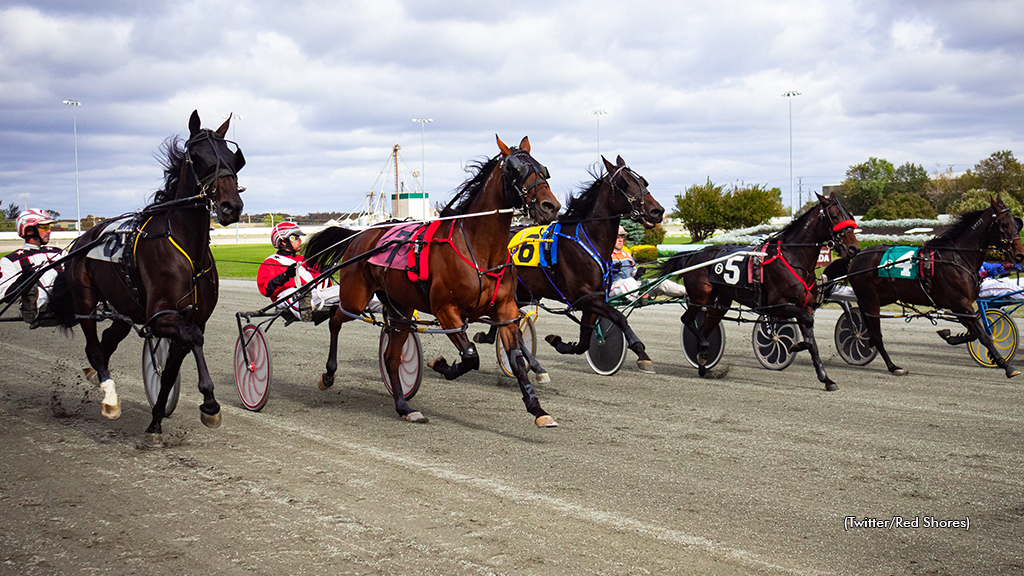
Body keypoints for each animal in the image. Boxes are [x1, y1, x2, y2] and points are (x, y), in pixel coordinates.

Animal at [54, 111, 247, 444]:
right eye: (198, 157)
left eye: (233, 158)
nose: (230, 207)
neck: (188, 248)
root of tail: (81, 239)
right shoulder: (160, 317)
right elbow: (192, 339)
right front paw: (210, 404)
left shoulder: (194, 317)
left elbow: (169, 372)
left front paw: (156, 420)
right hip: (86, 302)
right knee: (94, 346)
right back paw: (110, 398)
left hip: (125, 307)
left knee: (108, 339)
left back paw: (96, 375)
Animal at [303, 133, 561, 422]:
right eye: (515, 169)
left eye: (543, 168)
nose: (551, 206)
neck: (479, 251)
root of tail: (360, 235)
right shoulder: (445, 310)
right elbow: (470, 356)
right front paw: (442, 365)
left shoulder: (505, 310)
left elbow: (516, 360)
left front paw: (538, 409)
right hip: (355, 298)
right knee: (335, 319)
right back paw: (328, 374)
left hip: (400, 309)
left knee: (392, 357)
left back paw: (404, 406)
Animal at [471, 154, 663, 373]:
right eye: (624, 183)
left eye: (644, 182)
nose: (657, 211)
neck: (589, 239)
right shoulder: (583, 296)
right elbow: (619, 317)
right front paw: (641, 351)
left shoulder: (594, 297)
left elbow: (585, 339)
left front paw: (560, 343)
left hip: (518, 292)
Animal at [659, 192, 860, 389]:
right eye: (834, 216)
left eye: (850, 216)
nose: (854, 249)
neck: (793, 258)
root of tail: (693, 254)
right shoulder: (776, 306)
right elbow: (806, 325)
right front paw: (794, 346)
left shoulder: (806, 306)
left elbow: (812, 340)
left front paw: (826, 379)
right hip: (699, 297)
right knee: (687, 320)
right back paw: (704, 349)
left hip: (720, 303)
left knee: (706, 326)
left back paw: (703, 364)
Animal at [847, 194, 1024, 377]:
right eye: (1004, 224)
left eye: (1016, 224)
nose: (1019, 255)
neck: (958, 258)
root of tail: (858, 257)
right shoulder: (960, 303)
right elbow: (983, 335)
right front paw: (1006, 365)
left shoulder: (963, 308)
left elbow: (974, 333)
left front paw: (951, 336)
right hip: (871, 300)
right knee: (876, 335)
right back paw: (893, 366)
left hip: (882, 297)